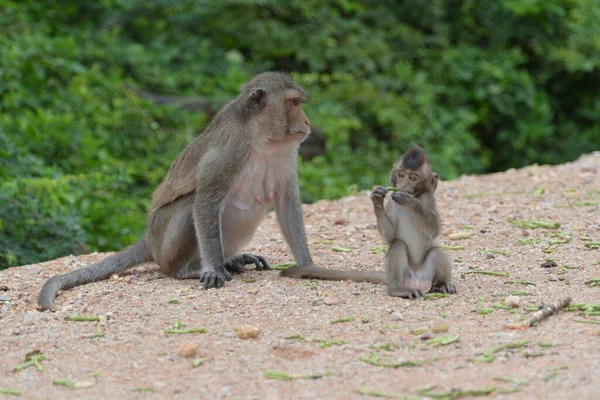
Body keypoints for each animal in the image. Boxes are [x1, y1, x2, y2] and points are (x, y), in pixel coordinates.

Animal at [38, 71, 316, 310]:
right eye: (293, 103)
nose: (306, 121)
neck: (263, 138)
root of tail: (149, 239)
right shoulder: (229, 152)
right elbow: (205, 200)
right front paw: (214, 269)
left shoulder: (287, 155)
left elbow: (287, 203)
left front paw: (307, 266)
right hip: (163, 240)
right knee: (188, 207)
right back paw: (188, 269)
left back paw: (231, 260)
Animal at [282, 145, 454, 298]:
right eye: (401, 174)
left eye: (412, 178)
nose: (403, 185)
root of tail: (417, 281)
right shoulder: (392, 203)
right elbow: (391, 236)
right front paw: (377, 200)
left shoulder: (428, 199)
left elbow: (434, 229)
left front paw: (410, 201)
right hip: (404, 277)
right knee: (398, 245)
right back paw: (398, 290)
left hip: (426, 275)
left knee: (436, 252)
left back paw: (442, 284)